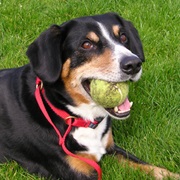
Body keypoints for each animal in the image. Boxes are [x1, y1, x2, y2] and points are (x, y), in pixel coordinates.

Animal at [0, 13, 179, 180]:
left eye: (123, 37)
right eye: (86, 44)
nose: (134, 64)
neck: (80, 119)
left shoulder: (110, 147)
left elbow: (150, 167)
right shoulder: (78, 170)